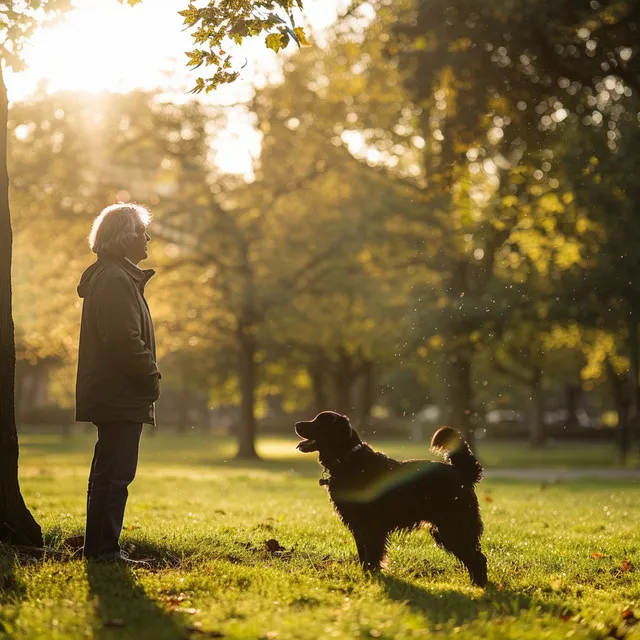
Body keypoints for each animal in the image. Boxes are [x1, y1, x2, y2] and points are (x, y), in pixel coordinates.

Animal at [296, 410, 490, 584]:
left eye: (319, 422)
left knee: (477, 559)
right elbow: (363, 556)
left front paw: (372, 578)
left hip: (452, 527)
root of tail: (462, 472)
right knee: (477, 557)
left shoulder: (371, 527)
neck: (349, 460)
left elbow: (371, 556)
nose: (296, 424)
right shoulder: (359, 527)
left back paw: (477, 587)